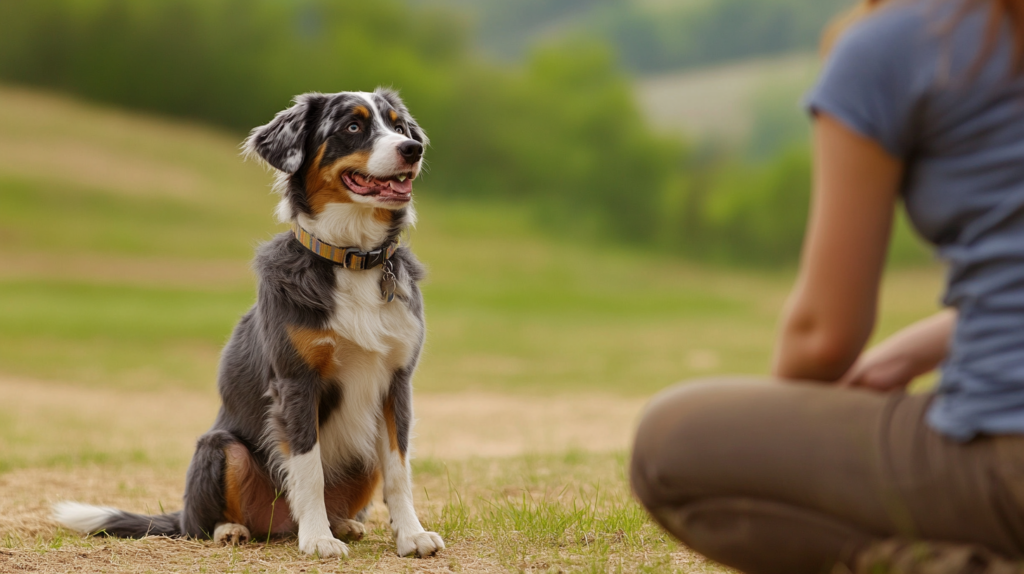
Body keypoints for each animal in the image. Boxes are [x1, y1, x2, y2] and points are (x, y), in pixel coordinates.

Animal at [52, 89, 444, 560]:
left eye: (399, 125)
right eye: (353, 126)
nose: (413, 149)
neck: (351, 258)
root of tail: (279, 527)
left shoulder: (396, 380)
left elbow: (399, 469)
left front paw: (411, 535)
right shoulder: (296, 383)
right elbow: (308, 469)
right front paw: (317, 540)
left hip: (361, 450)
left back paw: (344, 524)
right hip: (221, 447)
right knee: (201, 523)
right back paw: (236, 530)